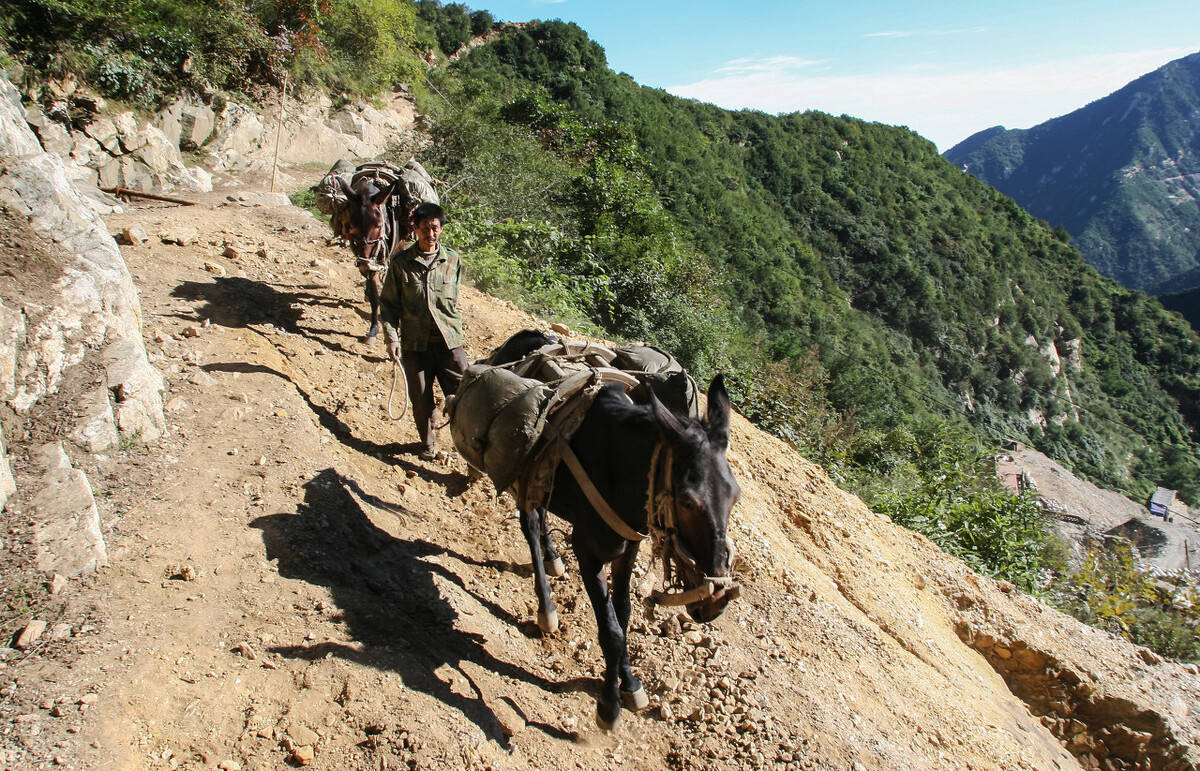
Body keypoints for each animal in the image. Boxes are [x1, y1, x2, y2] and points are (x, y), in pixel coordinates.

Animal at [471, 333, 741, 730]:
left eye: (735, 497)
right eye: (688, 502)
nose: (716, 600)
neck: (619, 469)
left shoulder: (627, 548)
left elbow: (623, 615)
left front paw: (630, 683)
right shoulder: (587, 551)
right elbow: (610, 630)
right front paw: (609, 706)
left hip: (542, 476)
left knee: (541, 513)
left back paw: (553, 557)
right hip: (522, 469)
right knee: (530, 524)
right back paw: (546, 606)